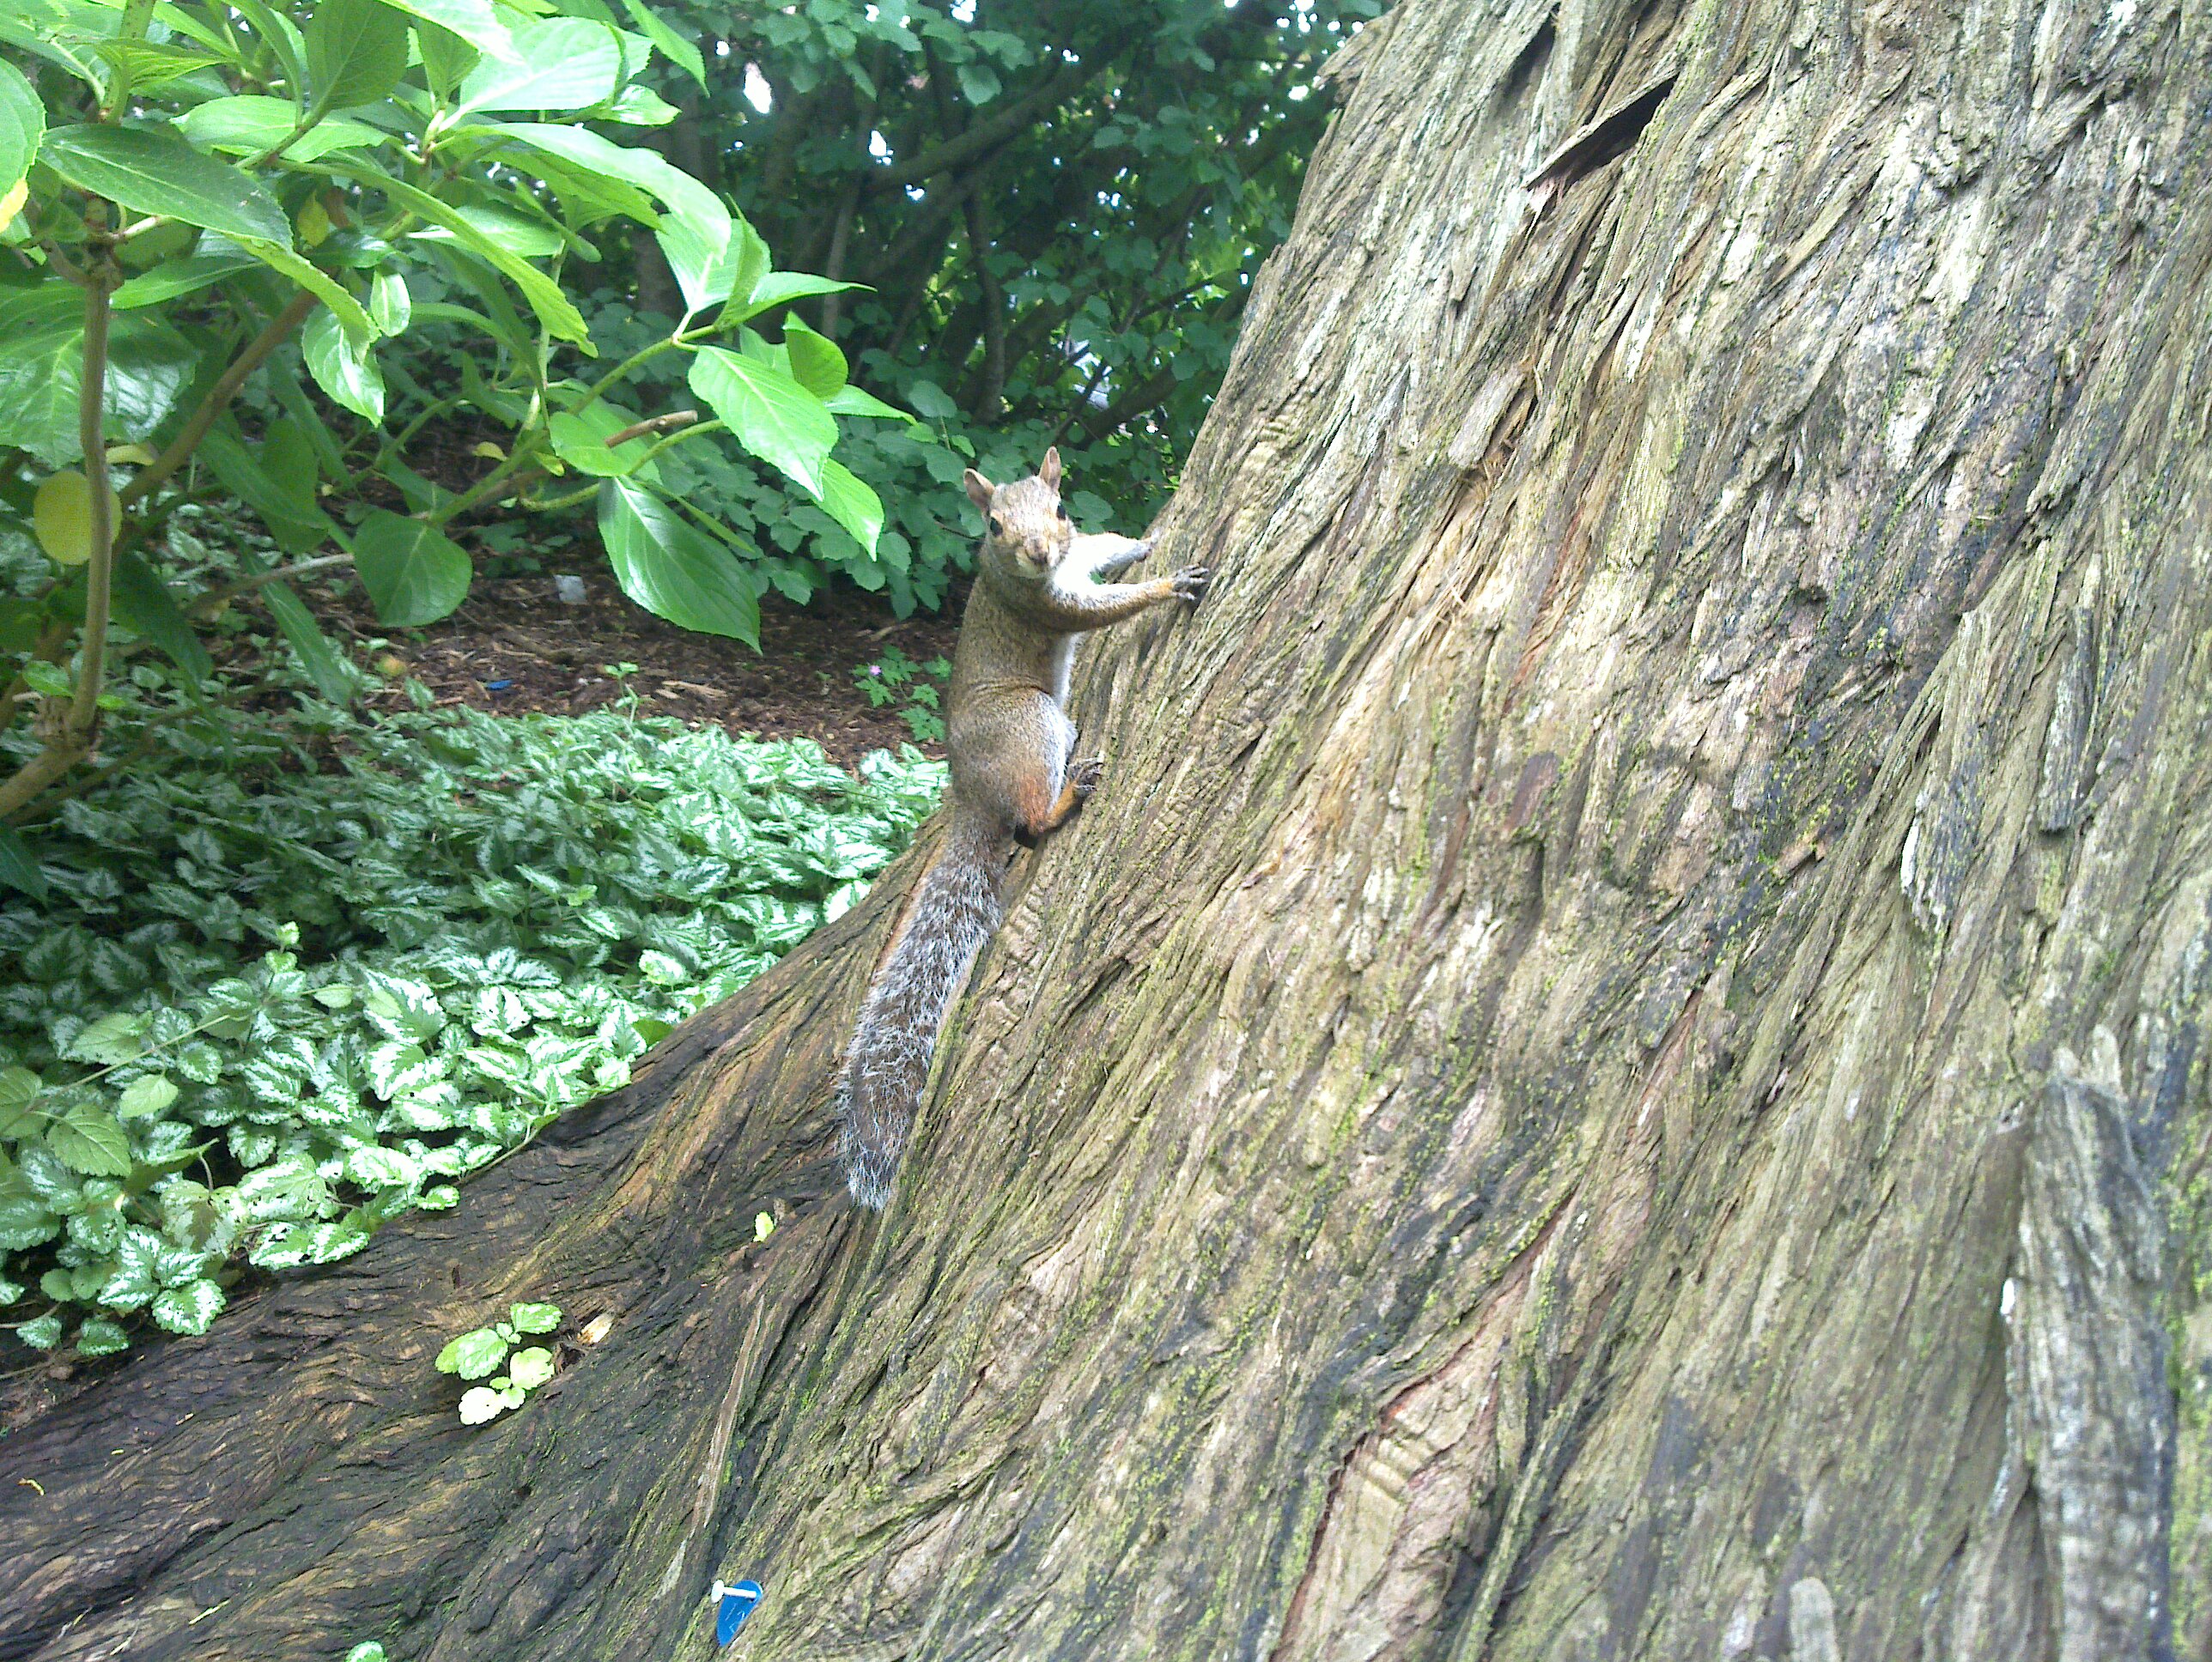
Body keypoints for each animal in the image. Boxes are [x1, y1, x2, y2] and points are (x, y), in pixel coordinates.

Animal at [836, 447, 1208, 1208]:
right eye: (995, 526)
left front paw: (1146, 538)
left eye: (1060, 509)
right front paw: (1166, 583)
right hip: (1031, 722)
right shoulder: (1047, 603)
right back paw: (1066, 800)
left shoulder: (1078, 556)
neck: (1039, 571)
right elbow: (1105, 607)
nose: (1038, 551)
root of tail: (971, 792)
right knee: (1030, 824)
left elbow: (1107, 549)